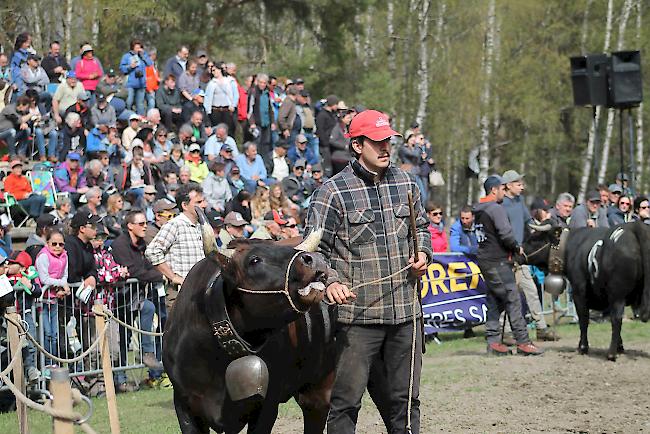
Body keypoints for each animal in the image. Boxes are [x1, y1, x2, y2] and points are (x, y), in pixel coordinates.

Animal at [524, 220, 648, 360]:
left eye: (534, 239)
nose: (518, 251)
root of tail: (634, 226)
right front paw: (620, 347)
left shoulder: (579, 292)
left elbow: (583, 319)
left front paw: (582, 347)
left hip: (618, 295)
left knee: (616, 319)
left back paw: (611, 353)